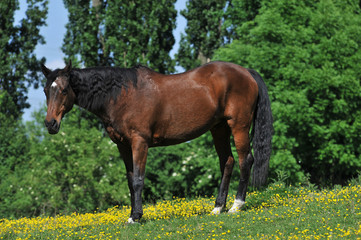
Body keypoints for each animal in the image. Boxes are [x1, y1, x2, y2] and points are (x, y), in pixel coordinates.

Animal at [40, 60, 270, 223]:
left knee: (245, 160)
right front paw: (132, 214)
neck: (122, 95)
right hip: (219, 128)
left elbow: (138, 180)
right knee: (227, 162)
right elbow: (130, 180)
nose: (50, 124)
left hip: (238, 126)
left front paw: (135, 217)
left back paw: (236, 205)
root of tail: (246, 72)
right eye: (45, 90)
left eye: (63, 90)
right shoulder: (123, 146)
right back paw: (217, 207)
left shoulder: (139, 143)